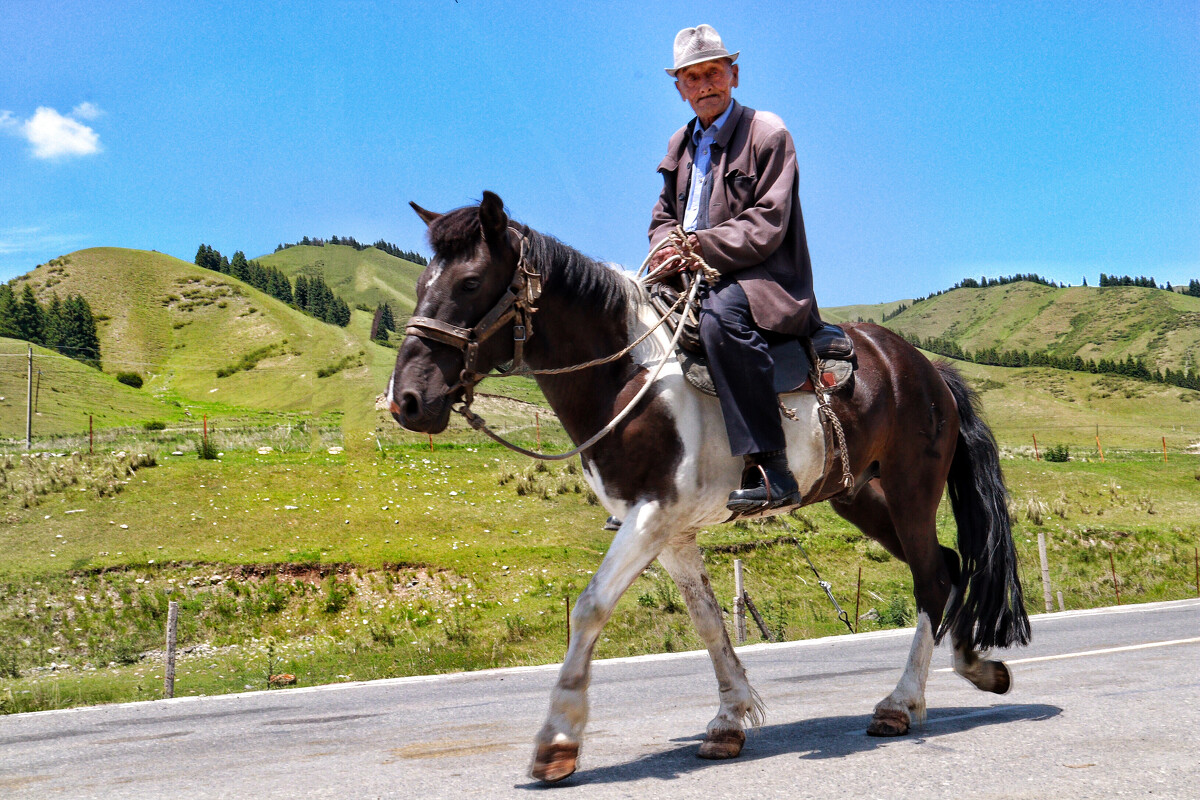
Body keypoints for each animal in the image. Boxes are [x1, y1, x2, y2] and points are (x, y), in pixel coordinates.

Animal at [388, 191, 1027, 782]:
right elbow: (708, 620)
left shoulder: (651, 515)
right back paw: (976, 667)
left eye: (471, 282)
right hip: (859, 497)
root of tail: (923, 367)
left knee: (931, 576)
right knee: (945, 566)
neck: (628, 378)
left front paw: (558, 739)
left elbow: (590, 608)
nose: (408, 400)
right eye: (420, 282)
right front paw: (728, 720)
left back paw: (901, 702)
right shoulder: (667, 531)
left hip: (910, 490)